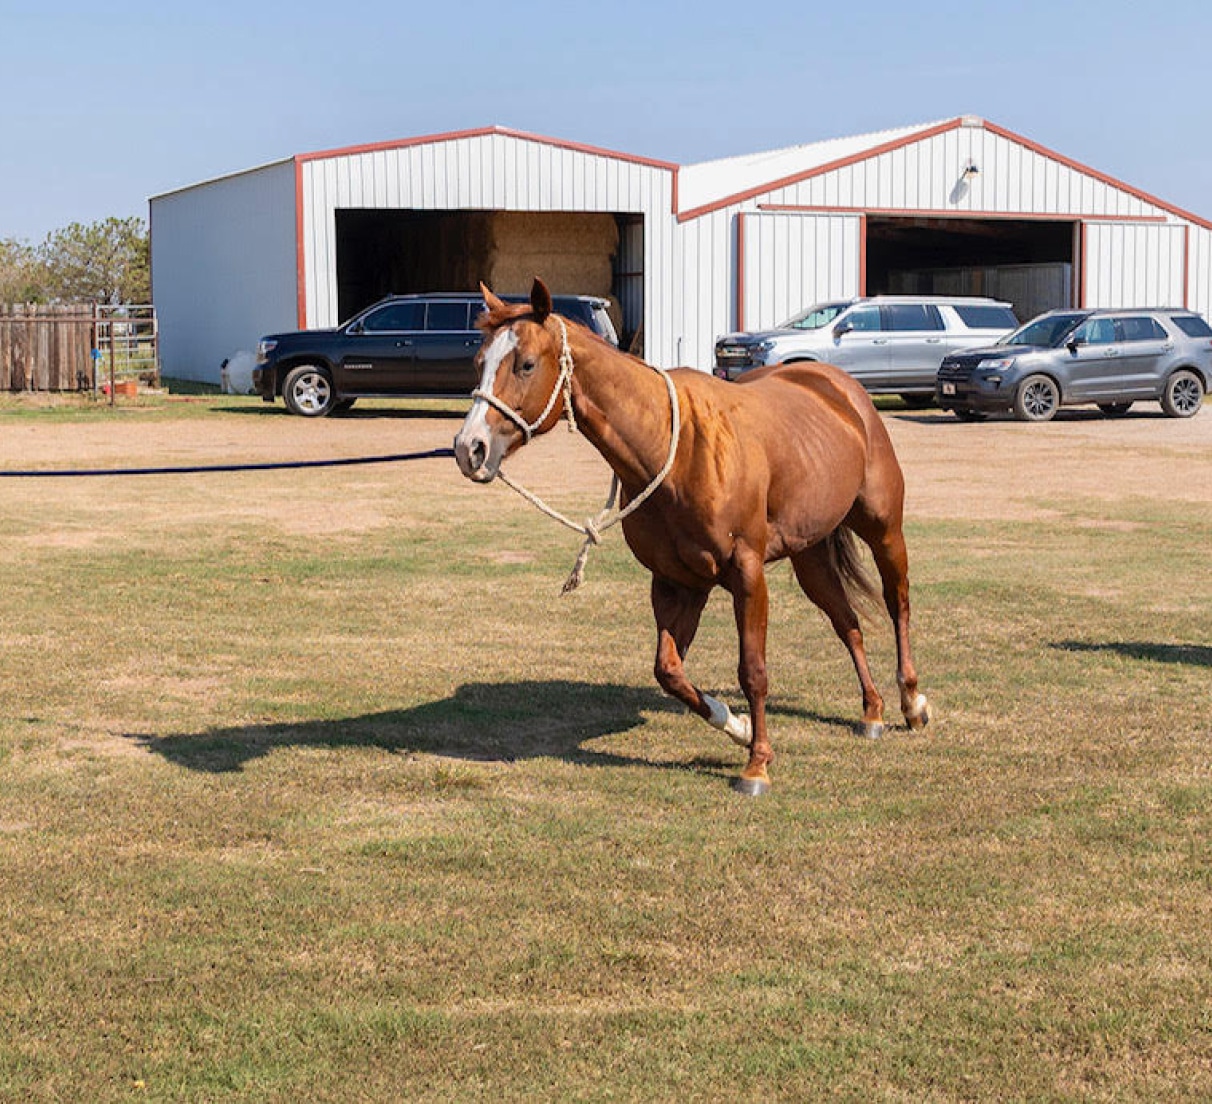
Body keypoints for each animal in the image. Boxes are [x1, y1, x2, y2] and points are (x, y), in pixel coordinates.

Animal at [453, 279, 930, 795]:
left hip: (883, 529)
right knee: (848, 624)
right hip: (811, 556)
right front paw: (737, 725)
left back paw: (911, 702)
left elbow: (753, 671)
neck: (675, 447)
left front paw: (757, 764)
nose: (469, 448)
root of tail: (841, 390)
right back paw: (872, 711)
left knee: (897, 604)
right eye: (479, 362)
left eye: (524, 364)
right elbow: (669, 671)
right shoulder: (679, 582)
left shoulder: (746, 574)